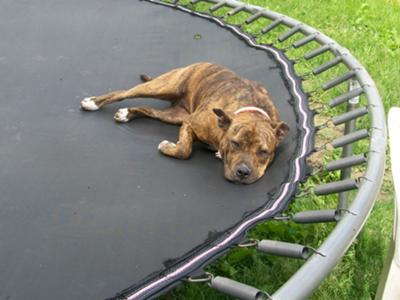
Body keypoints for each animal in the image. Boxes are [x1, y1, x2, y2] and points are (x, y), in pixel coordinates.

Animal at [80, 63, 288, 184]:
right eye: (235, 144)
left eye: (264, 152)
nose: (243, 172)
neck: (251, 111)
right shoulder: (191, 123)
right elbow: (184, 150)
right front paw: (168, 147)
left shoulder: (186, 121)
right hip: (162, 86)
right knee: (122, 93)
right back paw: (94, 102)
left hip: (174, 115)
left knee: (149, 110)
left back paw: (127, 113)